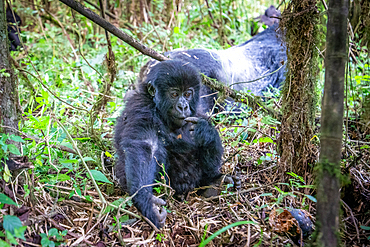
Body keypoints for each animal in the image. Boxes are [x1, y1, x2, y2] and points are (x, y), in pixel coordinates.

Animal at [115, 59, 231, 228]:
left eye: (188, 94)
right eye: (174, 94)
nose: (183, 106)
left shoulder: (198, 112)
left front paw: (205, 131)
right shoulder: (141, 108)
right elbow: (146, 146)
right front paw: (147, 201)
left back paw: (214, 183)